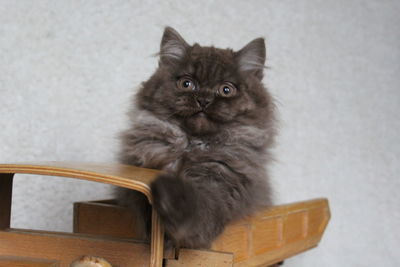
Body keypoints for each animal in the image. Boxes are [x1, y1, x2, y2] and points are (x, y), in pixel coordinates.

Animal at [116, 26, 276, 249]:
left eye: (226, 89)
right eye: (187, 84)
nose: (204, 99)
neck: (191, 144)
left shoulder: (221, 184)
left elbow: (198, 212)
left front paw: (171, 195)